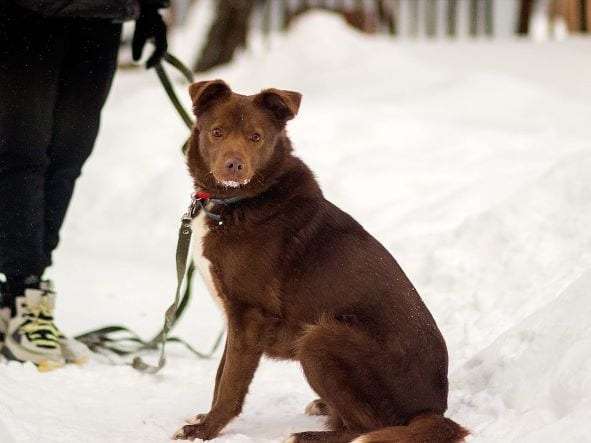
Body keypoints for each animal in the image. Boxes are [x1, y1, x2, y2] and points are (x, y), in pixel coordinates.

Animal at [173, 80, 470, 443]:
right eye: (217, 132)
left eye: (256, 137)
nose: (234, 166)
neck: (234, 202)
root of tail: (433, 411)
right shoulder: (237, 319)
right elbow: (220, 375)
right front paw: (206, 420)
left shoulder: (249, 314)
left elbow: (230, 383)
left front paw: (205, 430)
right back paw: (323, 408)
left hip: (320, 337)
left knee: (365, 426)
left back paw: (307, 435)